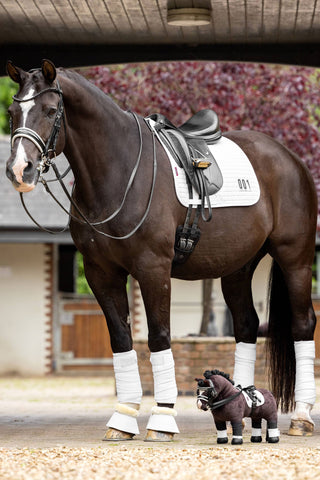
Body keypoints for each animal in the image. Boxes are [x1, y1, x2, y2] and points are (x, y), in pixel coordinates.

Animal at [5, 61, 318, 442]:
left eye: (51, 111)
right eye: (12, 112)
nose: (19, 170)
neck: (121, 172)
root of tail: (290, 159)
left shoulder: (153, 269)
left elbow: (158, 337)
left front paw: (162, 419)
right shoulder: (100, 273)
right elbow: (121, 339)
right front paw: (123, 419)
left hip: (295, 258)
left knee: (303, 325)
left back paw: (301, 417)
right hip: (238, 268)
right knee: (246, 325)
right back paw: (245, 406)